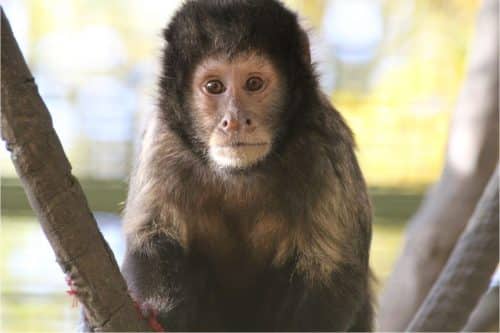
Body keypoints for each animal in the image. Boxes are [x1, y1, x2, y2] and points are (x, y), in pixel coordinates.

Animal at [86, 0, 374, 330]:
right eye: (214, 86)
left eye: (254, 84)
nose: (234, 120)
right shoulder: (162, 141)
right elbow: (153, 241)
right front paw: (158, 312)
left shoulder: (325, 143)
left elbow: (332, 272)